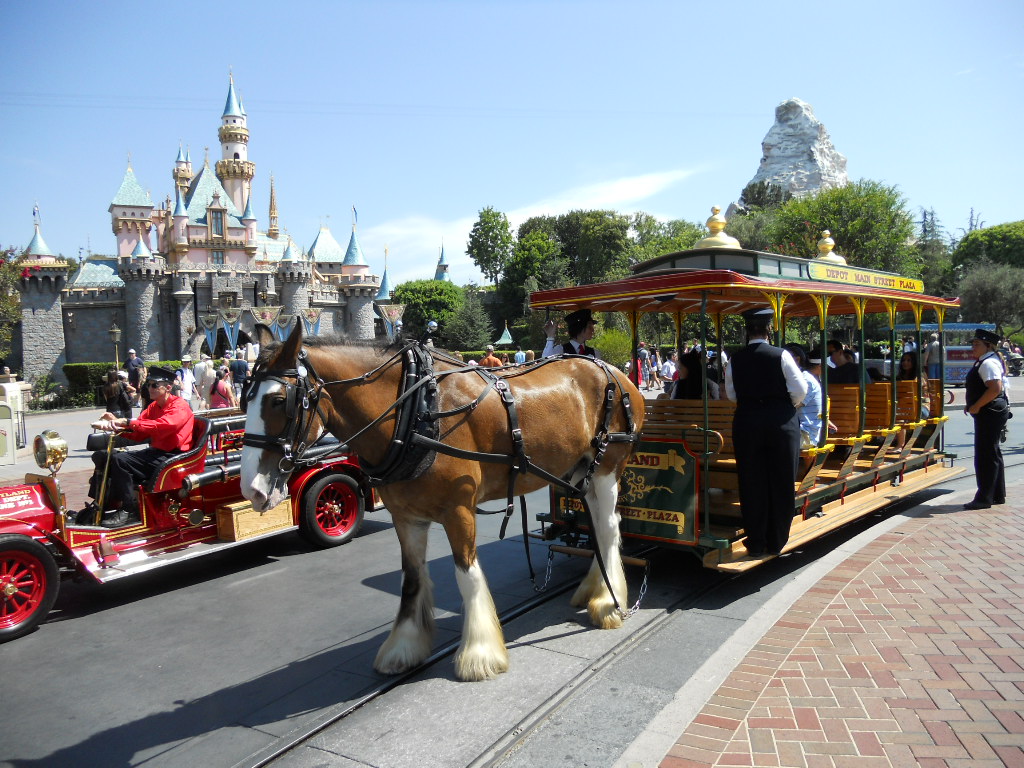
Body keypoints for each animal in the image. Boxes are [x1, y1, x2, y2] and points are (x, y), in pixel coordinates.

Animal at [237, 321, 647, 684]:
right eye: (246, 397)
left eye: (278, 400)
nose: (252, 489)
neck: (415, 411)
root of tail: (616, 373)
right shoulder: (406, 517)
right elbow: (412, 579)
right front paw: (403, 647)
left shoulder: (458, 510)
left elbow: (467, 575)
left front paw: (479, 655)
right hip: (582, 473)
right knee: (597, 525)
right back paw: (595, 589)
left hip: (608, 468)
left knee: (609, 528)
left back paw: (608, 603)